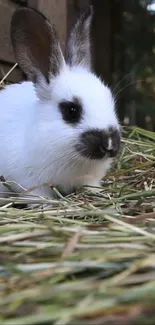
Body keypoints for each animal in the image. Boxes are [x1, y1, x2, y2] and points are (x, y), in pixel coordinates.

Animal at [0, 6, 120, 201]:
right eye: (72, 110)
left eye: (110, 101)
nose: (109, 144)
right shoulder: (32, 184)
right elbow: (40, 198)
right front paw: (46, 205)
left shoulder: (90, 179)